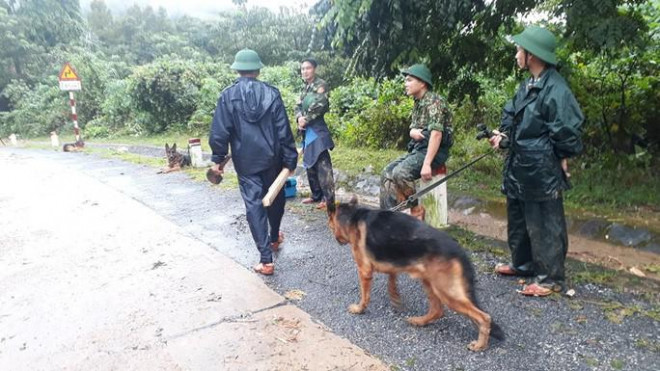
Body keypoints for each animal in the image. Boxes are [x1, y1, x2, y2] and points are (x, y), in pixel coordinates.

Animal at [326, 198, 506, 352]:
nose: (336, 238)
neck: (354, 215)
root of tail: (459, 250)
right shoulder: (393, 264)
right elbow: (392, 281)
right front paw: (395, 298)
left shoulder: (364, 271)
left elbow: (365, 296)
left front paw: (359, 309)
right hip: (429, 282)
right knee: (437, 310)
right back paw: (420, 321)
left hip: (446, 291)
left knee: (484, 317)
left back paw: (480, 345)